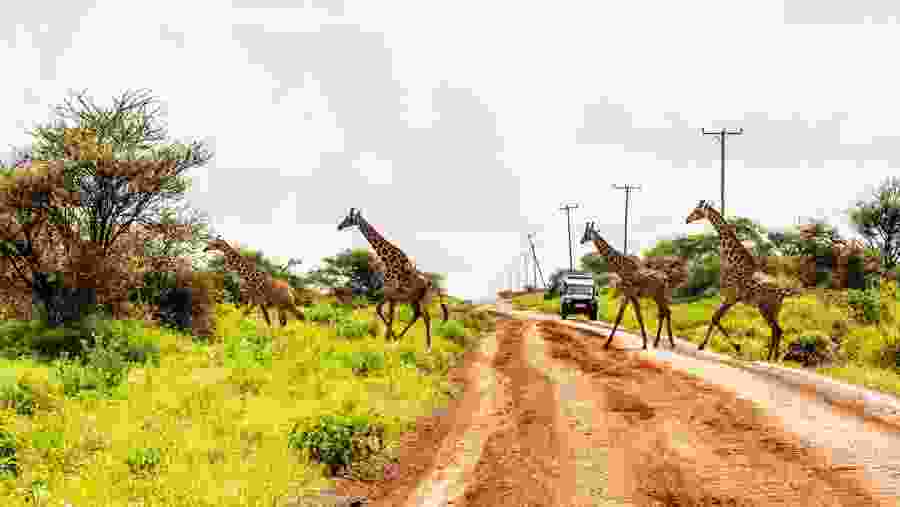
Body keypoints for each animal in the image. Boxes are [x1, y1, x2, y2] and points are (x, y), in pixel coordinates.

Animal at [337, 208, 448, 350]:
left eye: (348, 218)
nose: (339, 226)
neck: (387, 259)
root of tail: (434, 285)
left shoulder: (390, 291)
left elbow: (384, 312)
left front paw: (388, 338)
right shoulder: (391, 294)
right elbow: (386, 313)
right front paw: (390, 337)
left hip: (424, 299)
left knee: (426, 318)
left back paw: (428, 346)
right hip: (414, 299)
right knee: (417, 314)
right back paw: (400, 337)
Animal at [580, 222, 684, 350]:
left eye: (586, 232)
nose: (581, 240)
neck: (620, 268)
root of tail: (666, 278)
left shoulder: (628, 293)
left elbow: (621, 317)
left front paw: (607, 343)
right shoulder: (630, 295)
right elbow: (637, 317)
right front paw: (644, 343)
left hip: (660, 295)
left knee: (666, 312)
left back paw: (671, 343)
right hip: (656, 296)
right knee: (664, 313)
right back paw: (657, 342)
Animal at [685, 200, 802, 360]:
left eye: (697, 211)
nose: (687, 219)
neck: (733, 260)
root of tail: (782, 292)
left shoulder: (731, 296)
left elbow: (715, 318)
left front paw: (730, 346)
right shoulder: (731, 298)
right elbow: (715, 317)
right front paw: (732, 346)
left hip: (766, 309)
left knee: (777, 330)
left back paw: (770, 359)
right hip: (774, 310)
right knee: (777, 330)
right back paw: (772, 357)